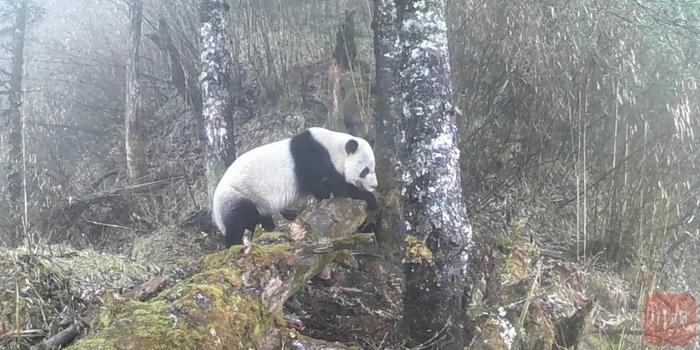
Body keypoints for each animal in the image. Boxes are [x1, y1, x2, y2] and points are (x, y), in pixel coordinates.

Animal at [212, 128, 378, 246]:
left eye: (373, 168)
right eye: (365, 170)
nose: (374, 185)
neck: (331, 147)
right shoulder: (313, 160)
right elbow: (333, 187)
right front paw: (370, 199)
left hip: (257, 201)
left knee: (260, 218)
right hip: (237, 194)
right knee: (239, 221)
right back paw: (234, 244)